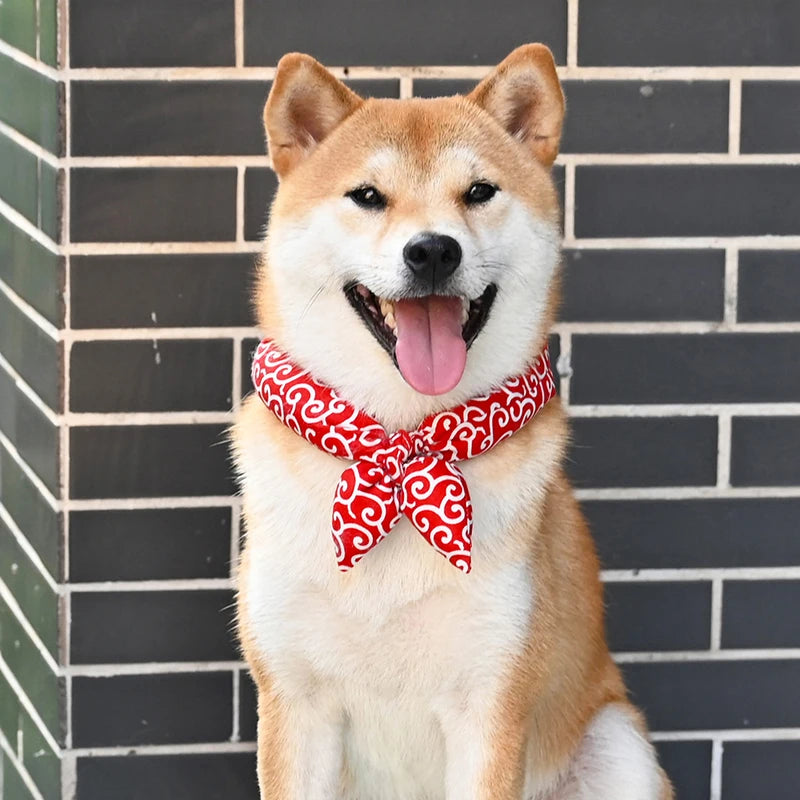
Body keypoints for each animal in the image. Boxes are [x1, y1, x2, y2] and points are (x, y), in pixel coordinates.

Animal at [233, 45, 676, 800]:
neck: (403, 447)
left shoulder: (492, 702)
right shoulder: (294, 702)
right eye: (368, 196)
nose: (433, 250)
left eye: (479, 192)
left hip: (620, 746)